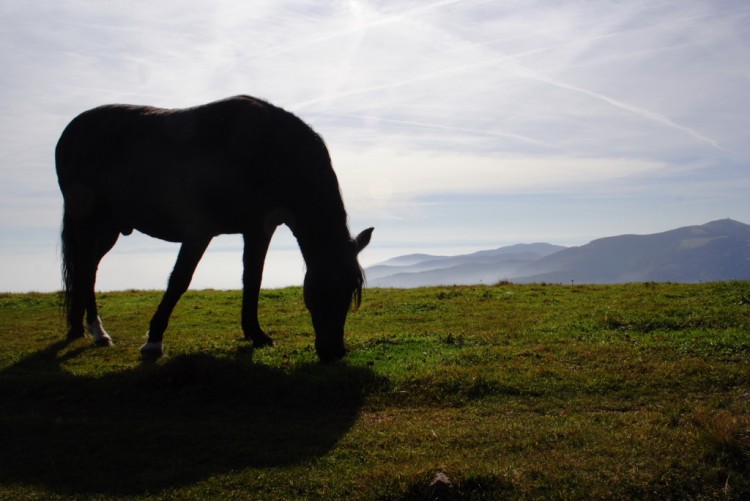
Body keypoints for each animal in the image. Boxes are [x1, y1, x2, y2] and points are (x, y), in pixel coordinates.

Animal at [57, 94, 374, 360]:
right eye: (327, 286)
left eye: (350, 289)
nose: (334, 351)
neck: (264, 150)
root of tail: (72, 129)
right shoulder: (199, 230)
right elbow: (179, 280)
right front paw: (154, 340)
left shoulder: (258, 229)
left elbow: (253, 279)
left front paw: (256, 334)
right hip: (87, 221)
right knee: (85, 270)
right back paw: (98, 333)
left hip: (108, 227)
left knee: (88, 269)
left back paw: (81, 329)